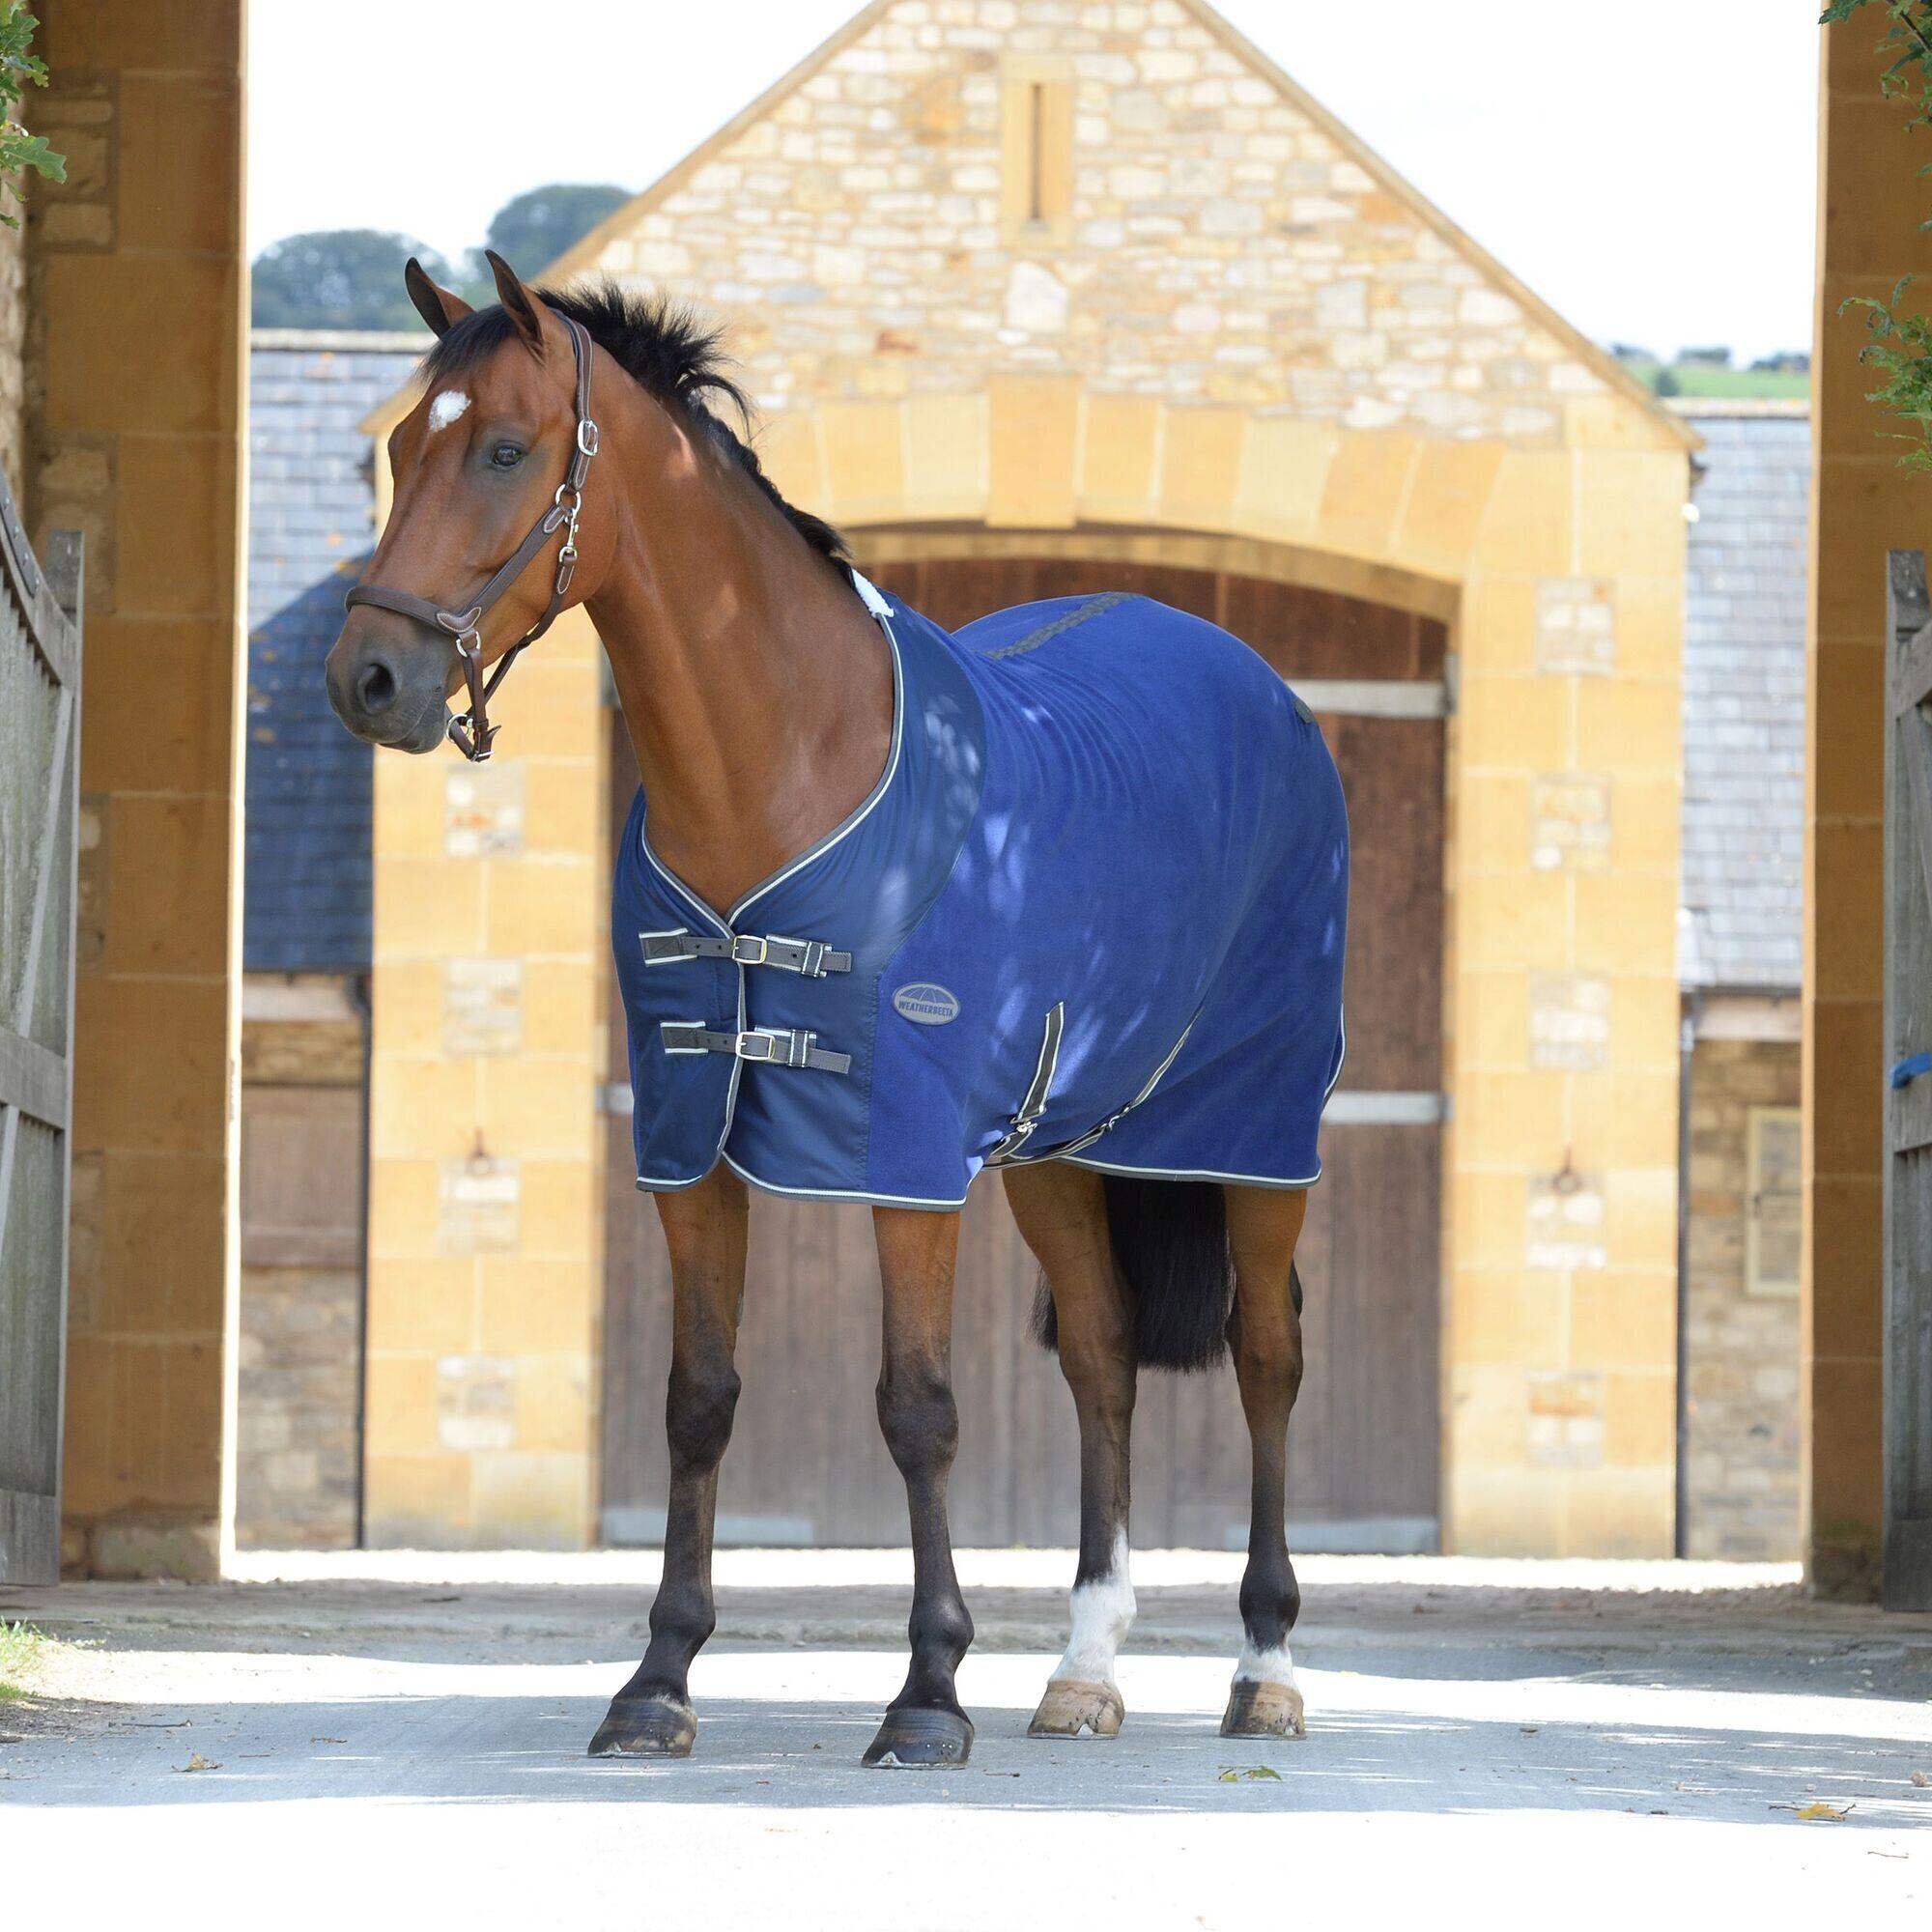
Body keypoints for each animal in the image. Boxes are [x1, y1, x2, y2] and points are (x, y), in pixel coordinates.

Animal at [325, 253, 1345, 1770]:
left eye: (504, 448)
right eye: (401, 448)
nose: (369, 680)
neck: (788, 763)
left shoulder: (904, 1156)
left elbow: (915, 1407)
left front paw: (926, 1693)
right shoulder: (687, 1141)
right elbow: (698, 1402)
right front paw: (657, 1682)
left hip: (1256, 1138)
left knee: (1267, 1357)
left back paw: (1264, 1664)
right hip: (1057, 1150)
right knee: (1102, 1359)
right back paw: (1084, 1668)